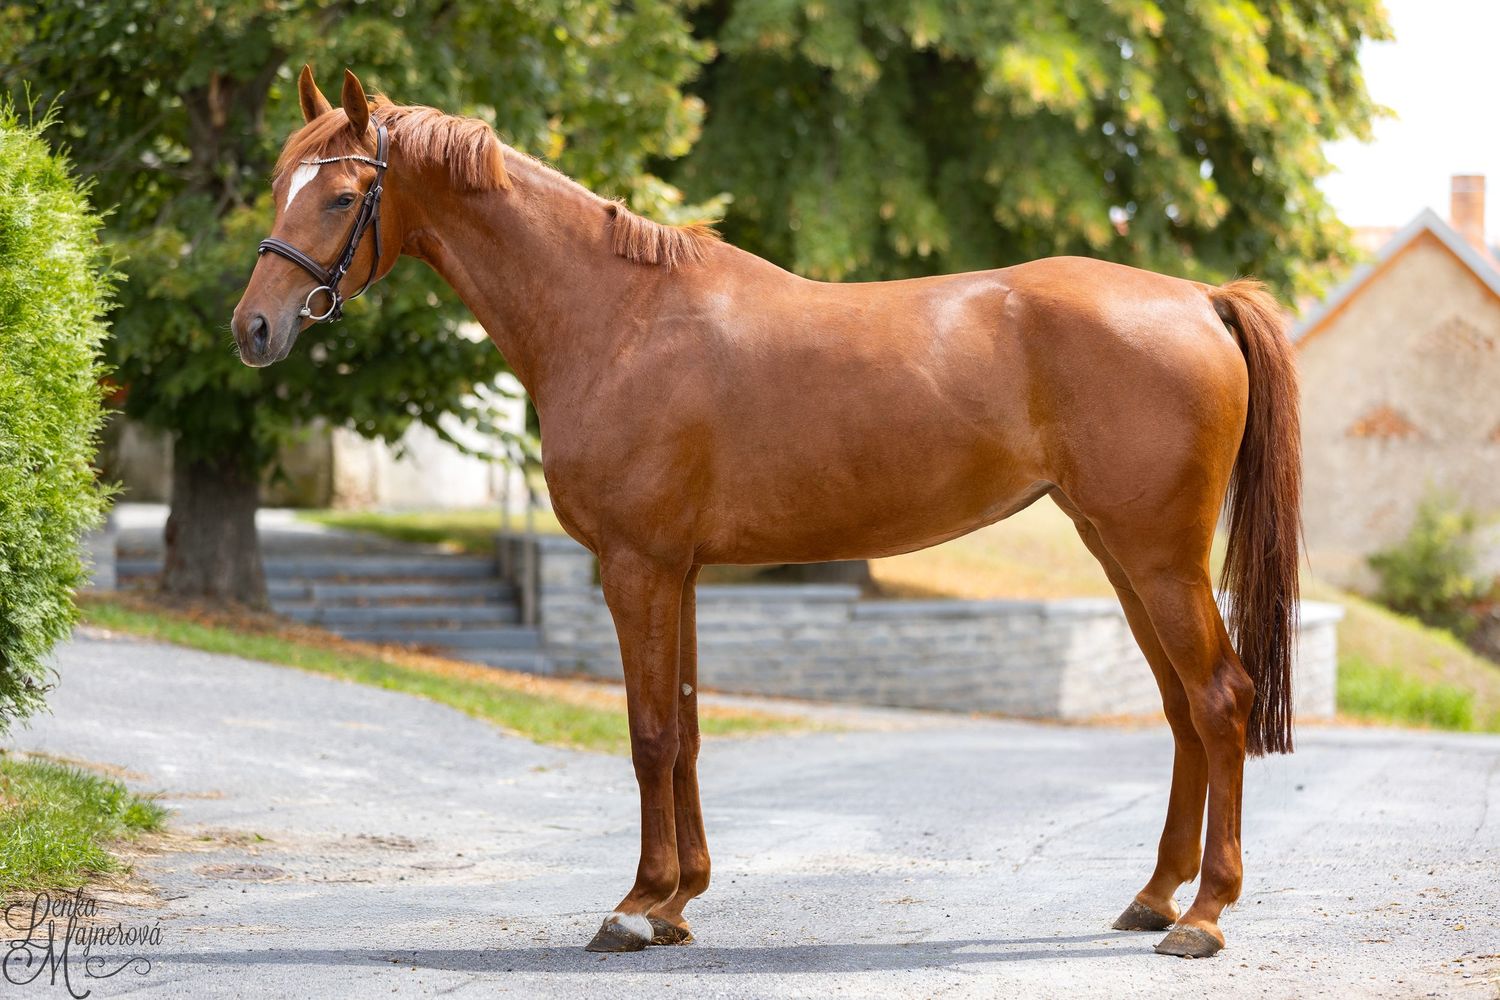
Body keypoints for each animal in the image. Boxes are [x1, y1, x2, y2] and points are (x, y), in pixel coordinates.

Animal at [232, 66, 1302, 960]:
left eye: (340, 196)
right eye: (280, 186)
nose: (254, 328)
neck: (615, 319)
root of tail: (1200, 298)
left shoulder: (636, 566)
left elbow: (648, 734)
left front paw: (634, 908)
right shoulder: (682, 571)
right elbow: (687, 728)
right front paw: (678, 901)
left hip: (1155, 556)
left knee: (1219, 700)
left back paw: (1203, 916)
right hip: (1122, 554)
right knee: (1180, 708)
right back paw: (1154, 899)